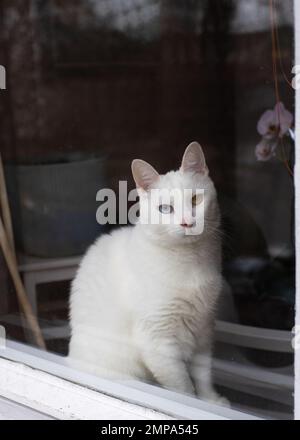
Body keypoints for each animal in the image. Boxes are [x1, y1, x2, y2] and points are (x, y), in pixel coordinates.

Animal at [68, 143, 227, 404]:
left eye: (195, 199)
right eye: (165, 208)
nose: (187, 223)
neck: (190, 260)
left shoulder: (204, 329)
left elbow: (204, 374)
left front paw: (211, 401)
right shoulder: (158, 341)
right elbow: (183, 386)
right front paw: (189, 402)